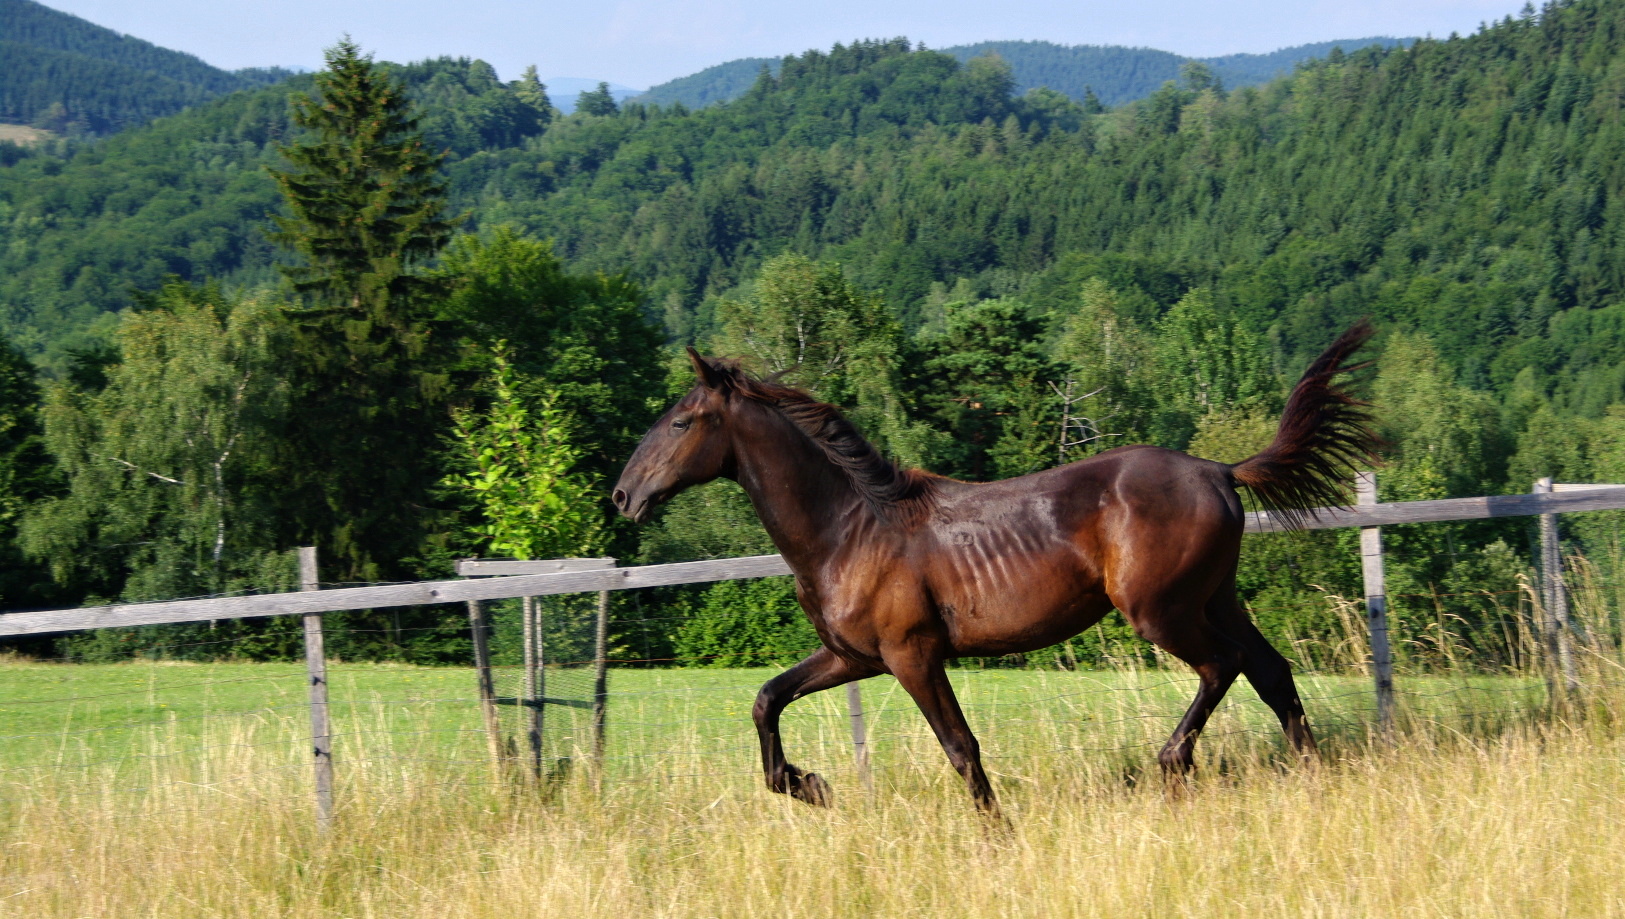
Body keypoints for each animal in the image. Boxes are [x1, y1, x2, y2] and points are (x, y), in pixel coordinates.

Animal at [614, 319, 1378, 818]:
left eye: (681, 422)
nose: (623, 496)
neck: (849, 530)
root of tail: (1221, 470)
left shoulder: (912, 655)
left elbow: (959, 745)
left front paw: (995, 832)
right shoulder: (853, 657)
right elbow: (766, 697)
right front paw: (808, 785)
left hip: (1161, 611)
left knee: (1222, 666)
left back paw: (1170, 764)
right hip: (1215, 598)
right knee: (1271, 673)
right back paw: (1313, 780)